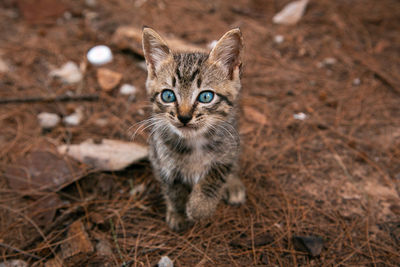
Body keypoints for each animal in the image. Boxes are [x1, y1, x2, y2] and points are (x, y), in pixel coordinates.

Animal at [142, 27, 245, 232]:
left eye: (206, 97)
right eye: (168, 95)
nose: (184, 117)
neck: (195, 142)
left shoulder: (227, 153)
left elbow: (215, 177)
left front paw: (199, 208)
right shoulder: (162, 160)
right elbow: (173, 188)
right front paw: (178, 212)